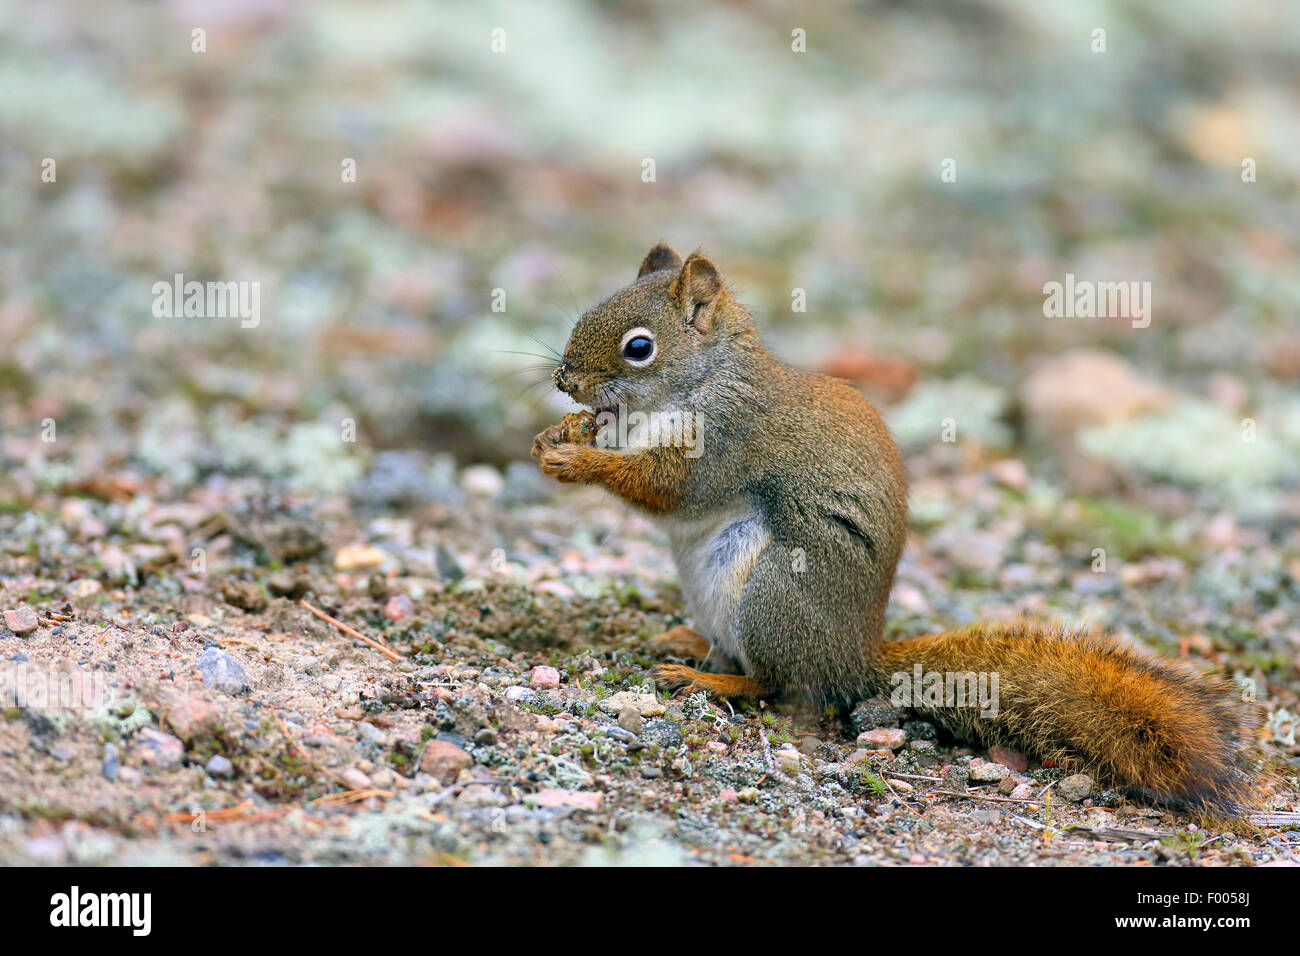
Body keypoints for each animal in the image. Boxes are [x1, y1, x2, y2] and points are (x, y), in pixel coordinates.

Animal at [531, 242, 1256, 814]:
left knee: (779, 683)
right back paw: (693, 643)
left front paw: (577, 459)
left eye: (640, 348)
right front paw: (556, 434)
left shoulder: (727, 440)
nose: (565, 381)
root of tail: (856, 657)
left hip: (773, 593)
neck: (706, 380)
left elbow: (668, 489)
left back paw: (711, 680)